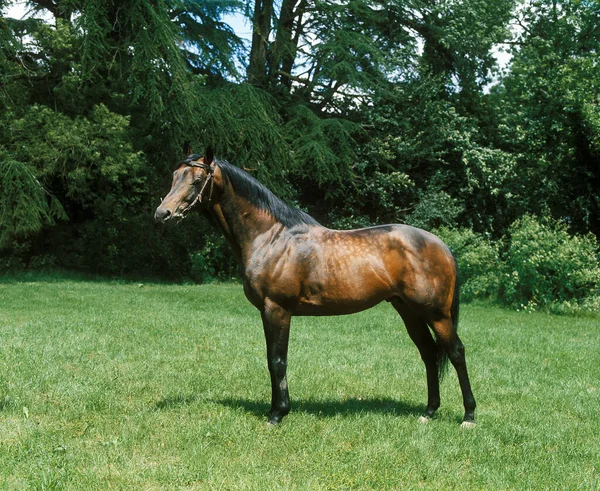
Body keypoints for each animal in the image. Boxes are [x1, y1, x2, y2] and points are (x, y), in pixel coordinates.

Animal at [155, 149, 478, 426]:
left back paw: (469, 416)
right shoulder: (266, 312)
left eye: (197, 180)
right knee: (428, 353)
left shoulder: (277, 310)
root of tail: (440, 245)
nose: (162, 214)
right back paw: (429, 411)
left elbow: (278, 360)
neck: (271, 238)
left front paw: (278, 414)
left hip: (436, 313)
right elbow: (271, 359)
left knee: (456, 352)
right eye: (174, 177)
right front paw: (274, 409)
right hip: (409, 311)